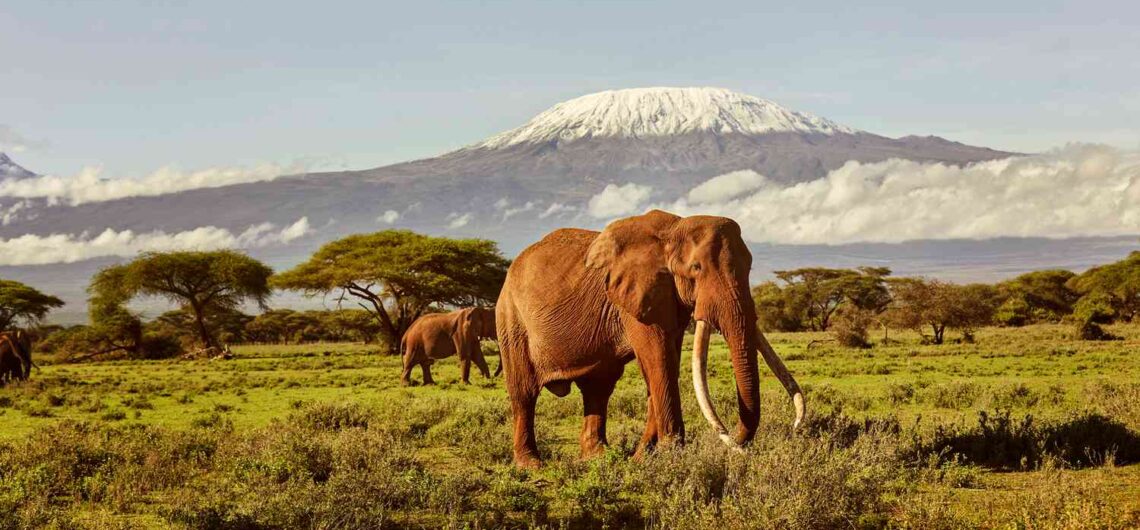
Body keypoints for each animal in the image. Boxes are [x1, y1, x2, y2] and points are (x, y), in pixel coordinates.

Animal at [496, 210, 805, 468]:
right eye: (696, 268)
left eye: (750, 267)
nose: (795, 427)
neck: (674, 229)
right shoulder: (635, 295)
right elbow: (658, 358)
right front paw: (670, 453)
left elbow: (666, 359)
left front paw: (644, 457)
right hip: (510, 319)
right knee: (524, 392)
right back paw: (531, 465)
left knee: (598, 389)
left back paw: (598, 458)